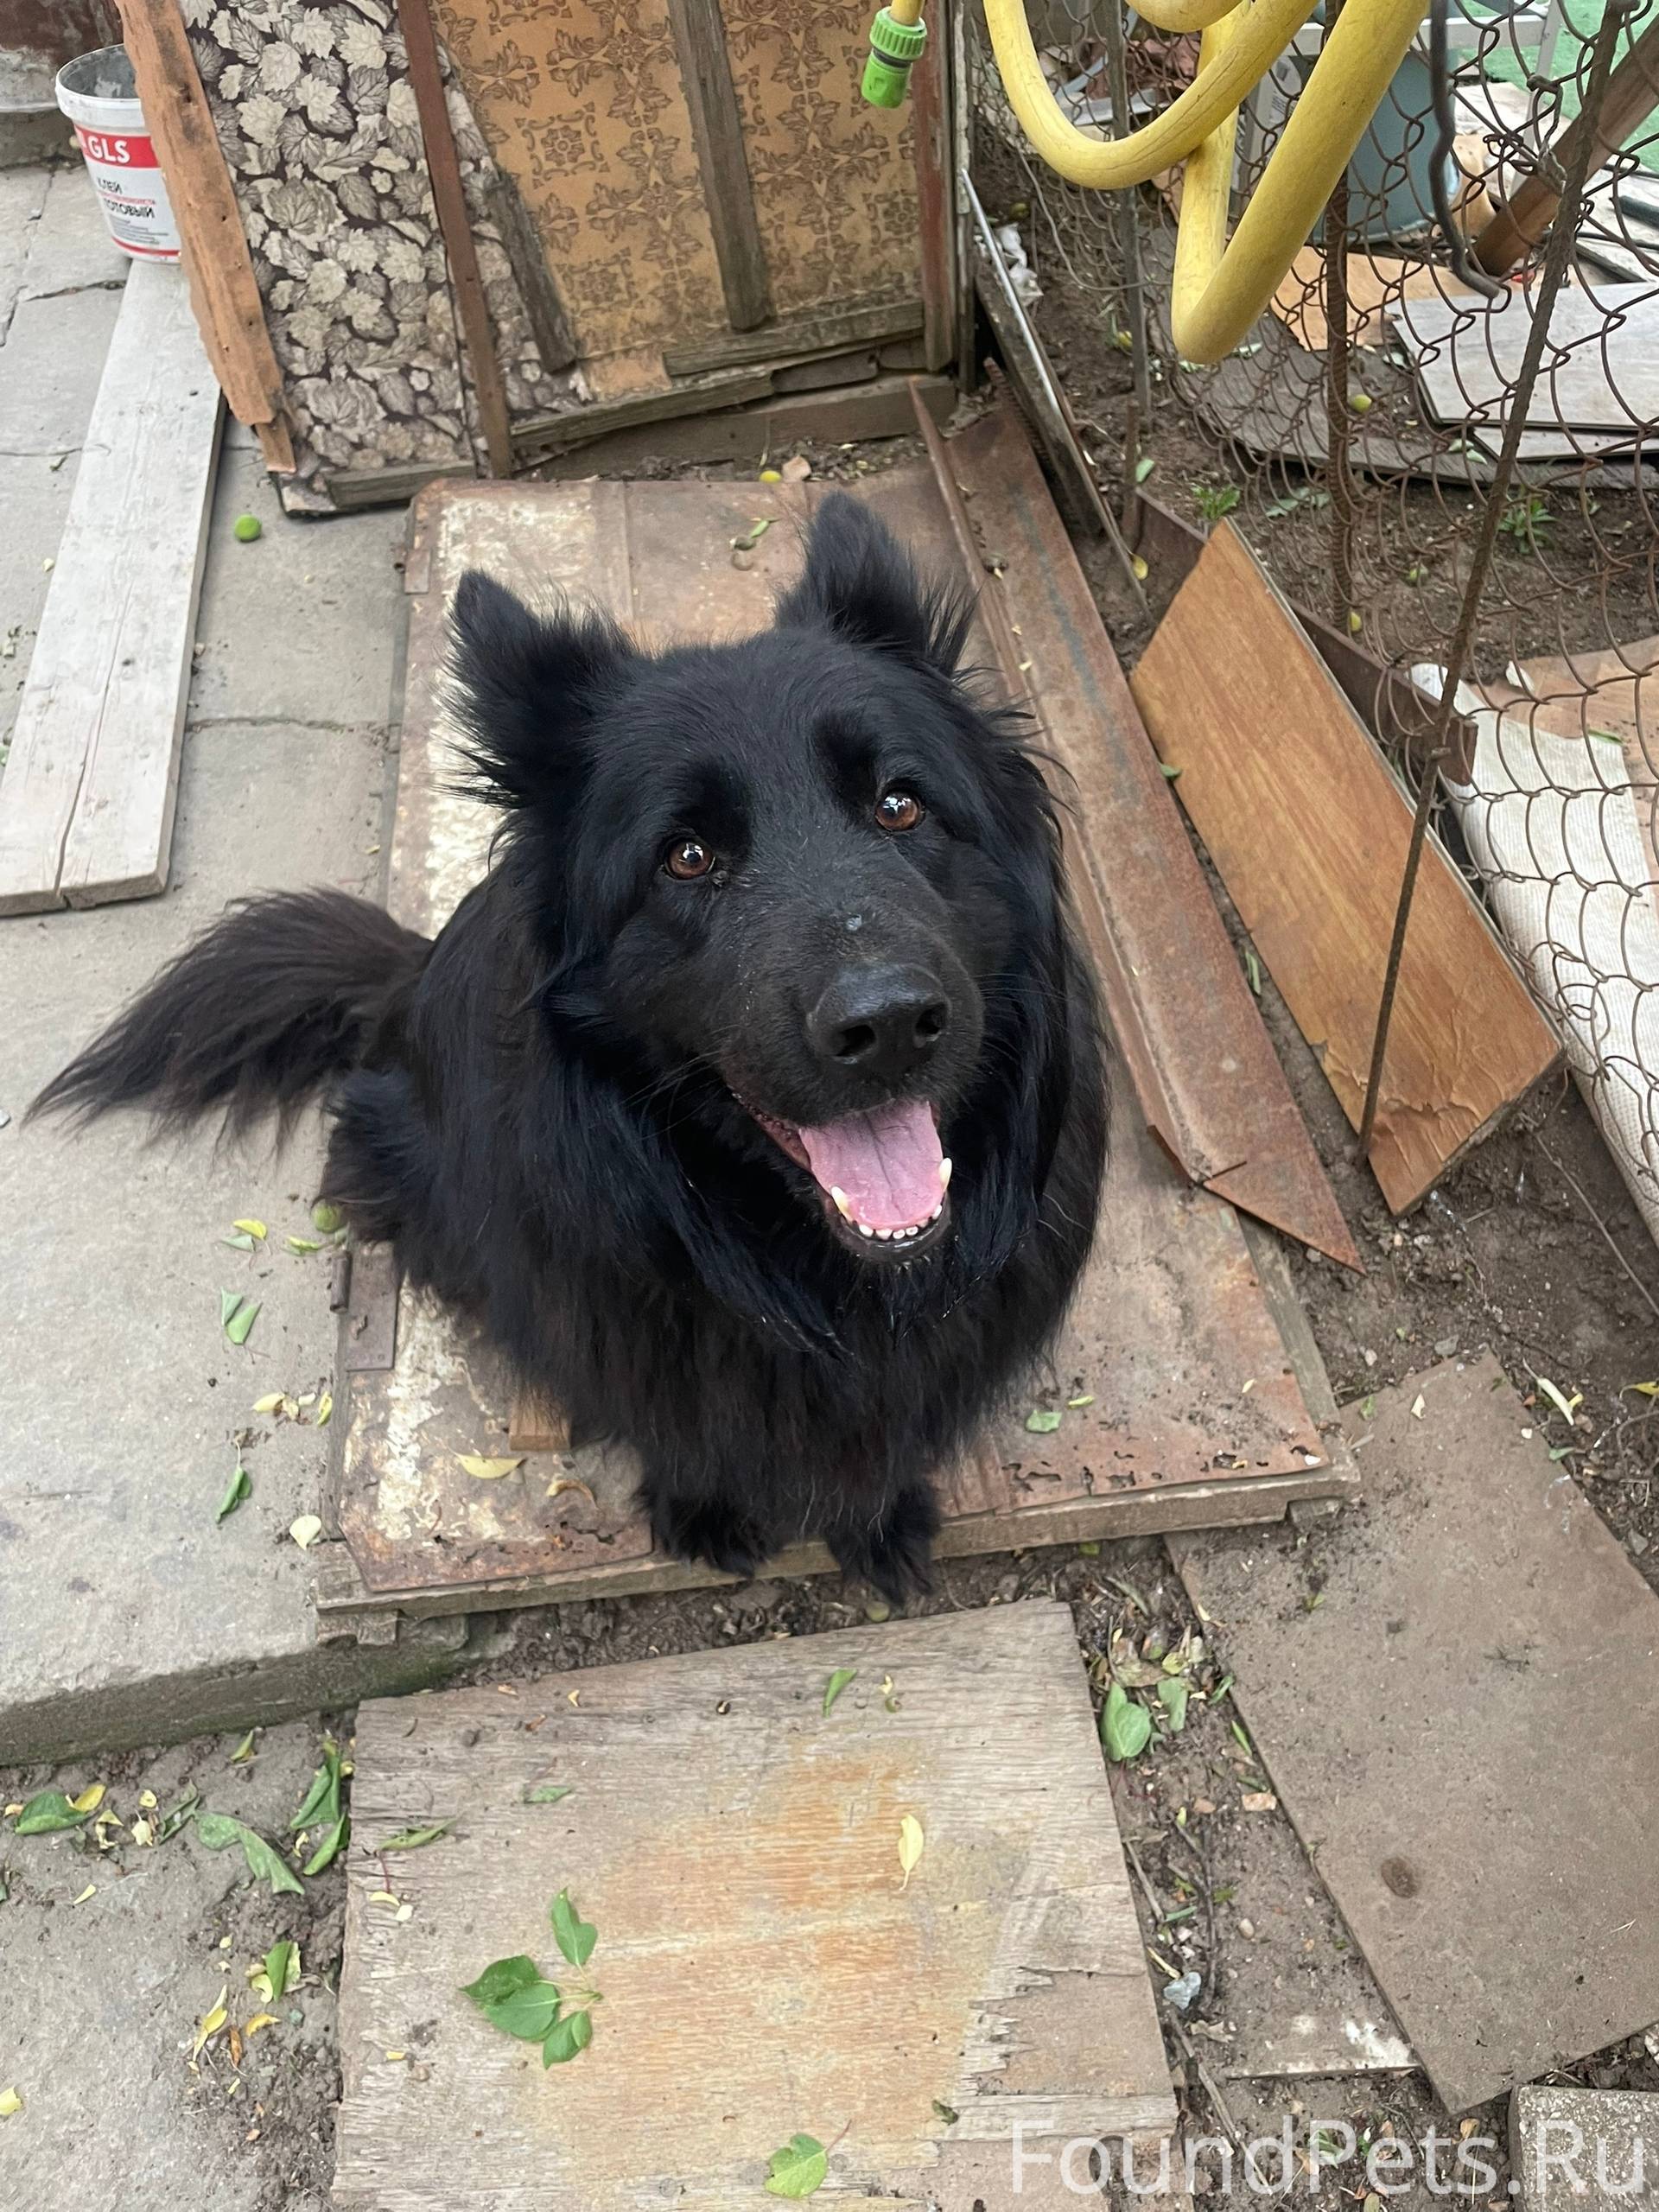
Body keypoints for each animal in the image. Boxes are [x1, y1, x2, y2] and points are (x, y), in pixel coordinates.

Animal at [35, 494, 1108, 1601]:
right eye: (688, 856)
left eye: (900, 804)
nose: (889, 1023)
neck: (802, 1266)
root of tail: (405, 983)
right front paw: (707, 1509)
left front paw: (880, 1515)